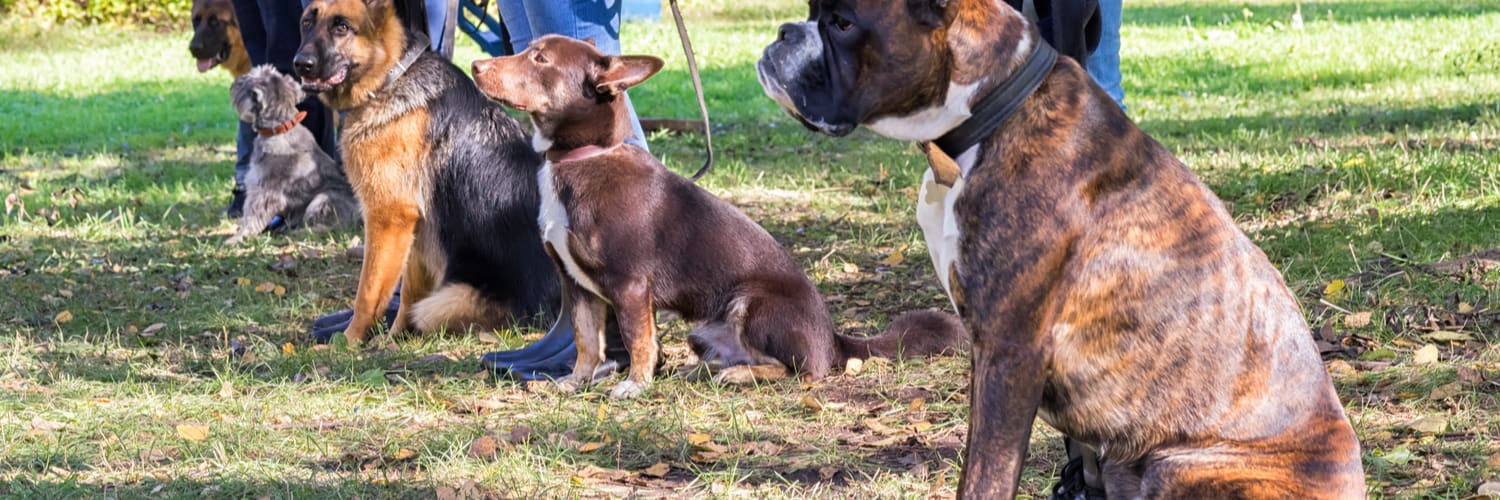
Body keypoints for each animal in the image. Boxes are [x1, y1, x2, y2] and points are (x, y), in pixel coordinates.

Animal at [226, 65, 358, 244]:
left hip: (322, 199)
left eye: (249, 79)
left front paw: (238, 237)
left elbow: (251, 217)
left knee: (325, 227)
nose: (236, 82)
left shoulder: (263, 192)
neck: (279, 129)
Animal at [289, 0, 561, 342]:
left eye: (342, 27)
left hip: (445, 302)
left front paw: (349, 340)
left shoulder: (389, 218)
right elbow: (408, 293)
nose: (301, 64)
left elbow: (368, 292)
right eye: (306, 23)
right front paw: (394, 338)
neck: (390, 78)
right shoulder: (416, 230)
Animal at [762, 0, 1362, 495]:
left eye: (842, 23)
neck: (989, 113)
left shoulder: (1011, 352)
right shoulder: (986, 353)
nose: (784, 32)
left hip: (1181, 464)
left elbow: (986, 477)